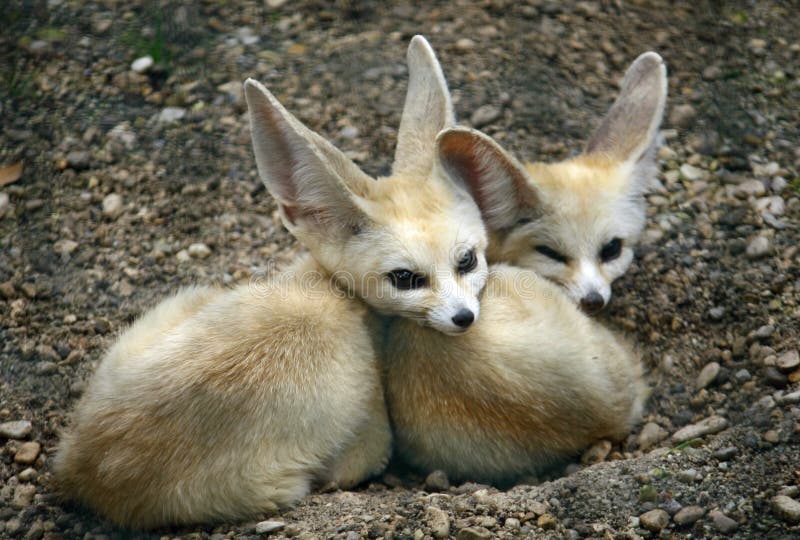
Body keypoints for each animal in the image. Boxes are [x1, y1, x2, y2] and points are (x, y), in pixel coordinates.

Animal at [53, 36, 489, 529]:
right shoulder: (369, 434)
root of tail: (82, 468)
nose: (464, 317)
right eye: (405, 278)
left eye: (467, 260)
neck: (336, 294)